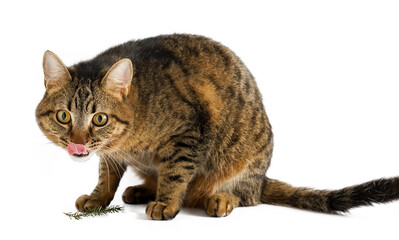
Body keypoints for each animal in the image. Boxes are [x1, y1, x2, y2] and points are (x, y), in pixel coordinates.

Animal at [36, 33, 399, 219]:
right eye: (64, 117)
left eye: (99, 119)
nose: (79, 143)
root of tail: (261, 178)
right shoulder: (112, 154)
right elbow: (106, 175)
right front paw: (99, 198)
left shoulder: (187, 134)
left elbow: (175, 173)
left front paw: (167, 203)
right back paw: (142, 189)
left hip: (247, 160)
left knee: (247, 197)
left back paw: (220, 198)